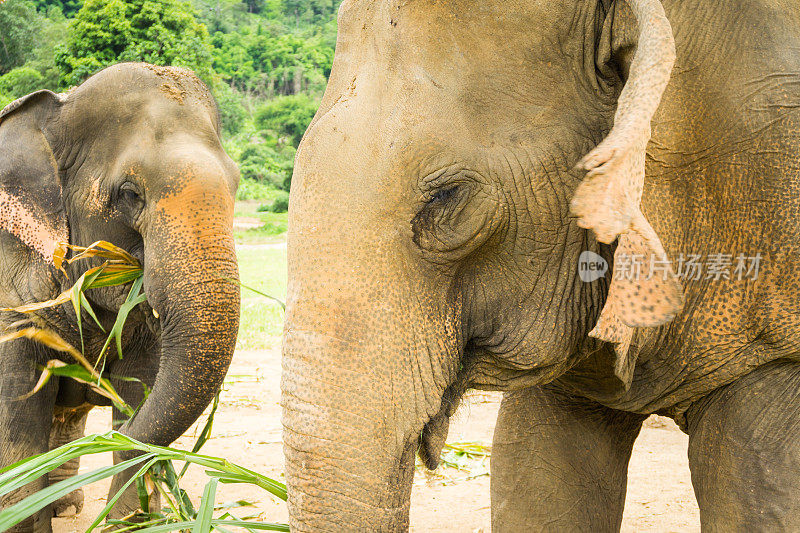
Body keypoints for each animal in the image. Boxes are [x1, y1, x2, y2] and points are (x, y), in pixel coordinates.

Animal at [0, 61, 241, 528]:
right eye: (130, 194)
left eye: (237, 184)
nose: (123, 429)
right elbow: (18, 418)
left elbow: (142, 381)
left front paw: (132, 519)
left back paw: (65, 503)